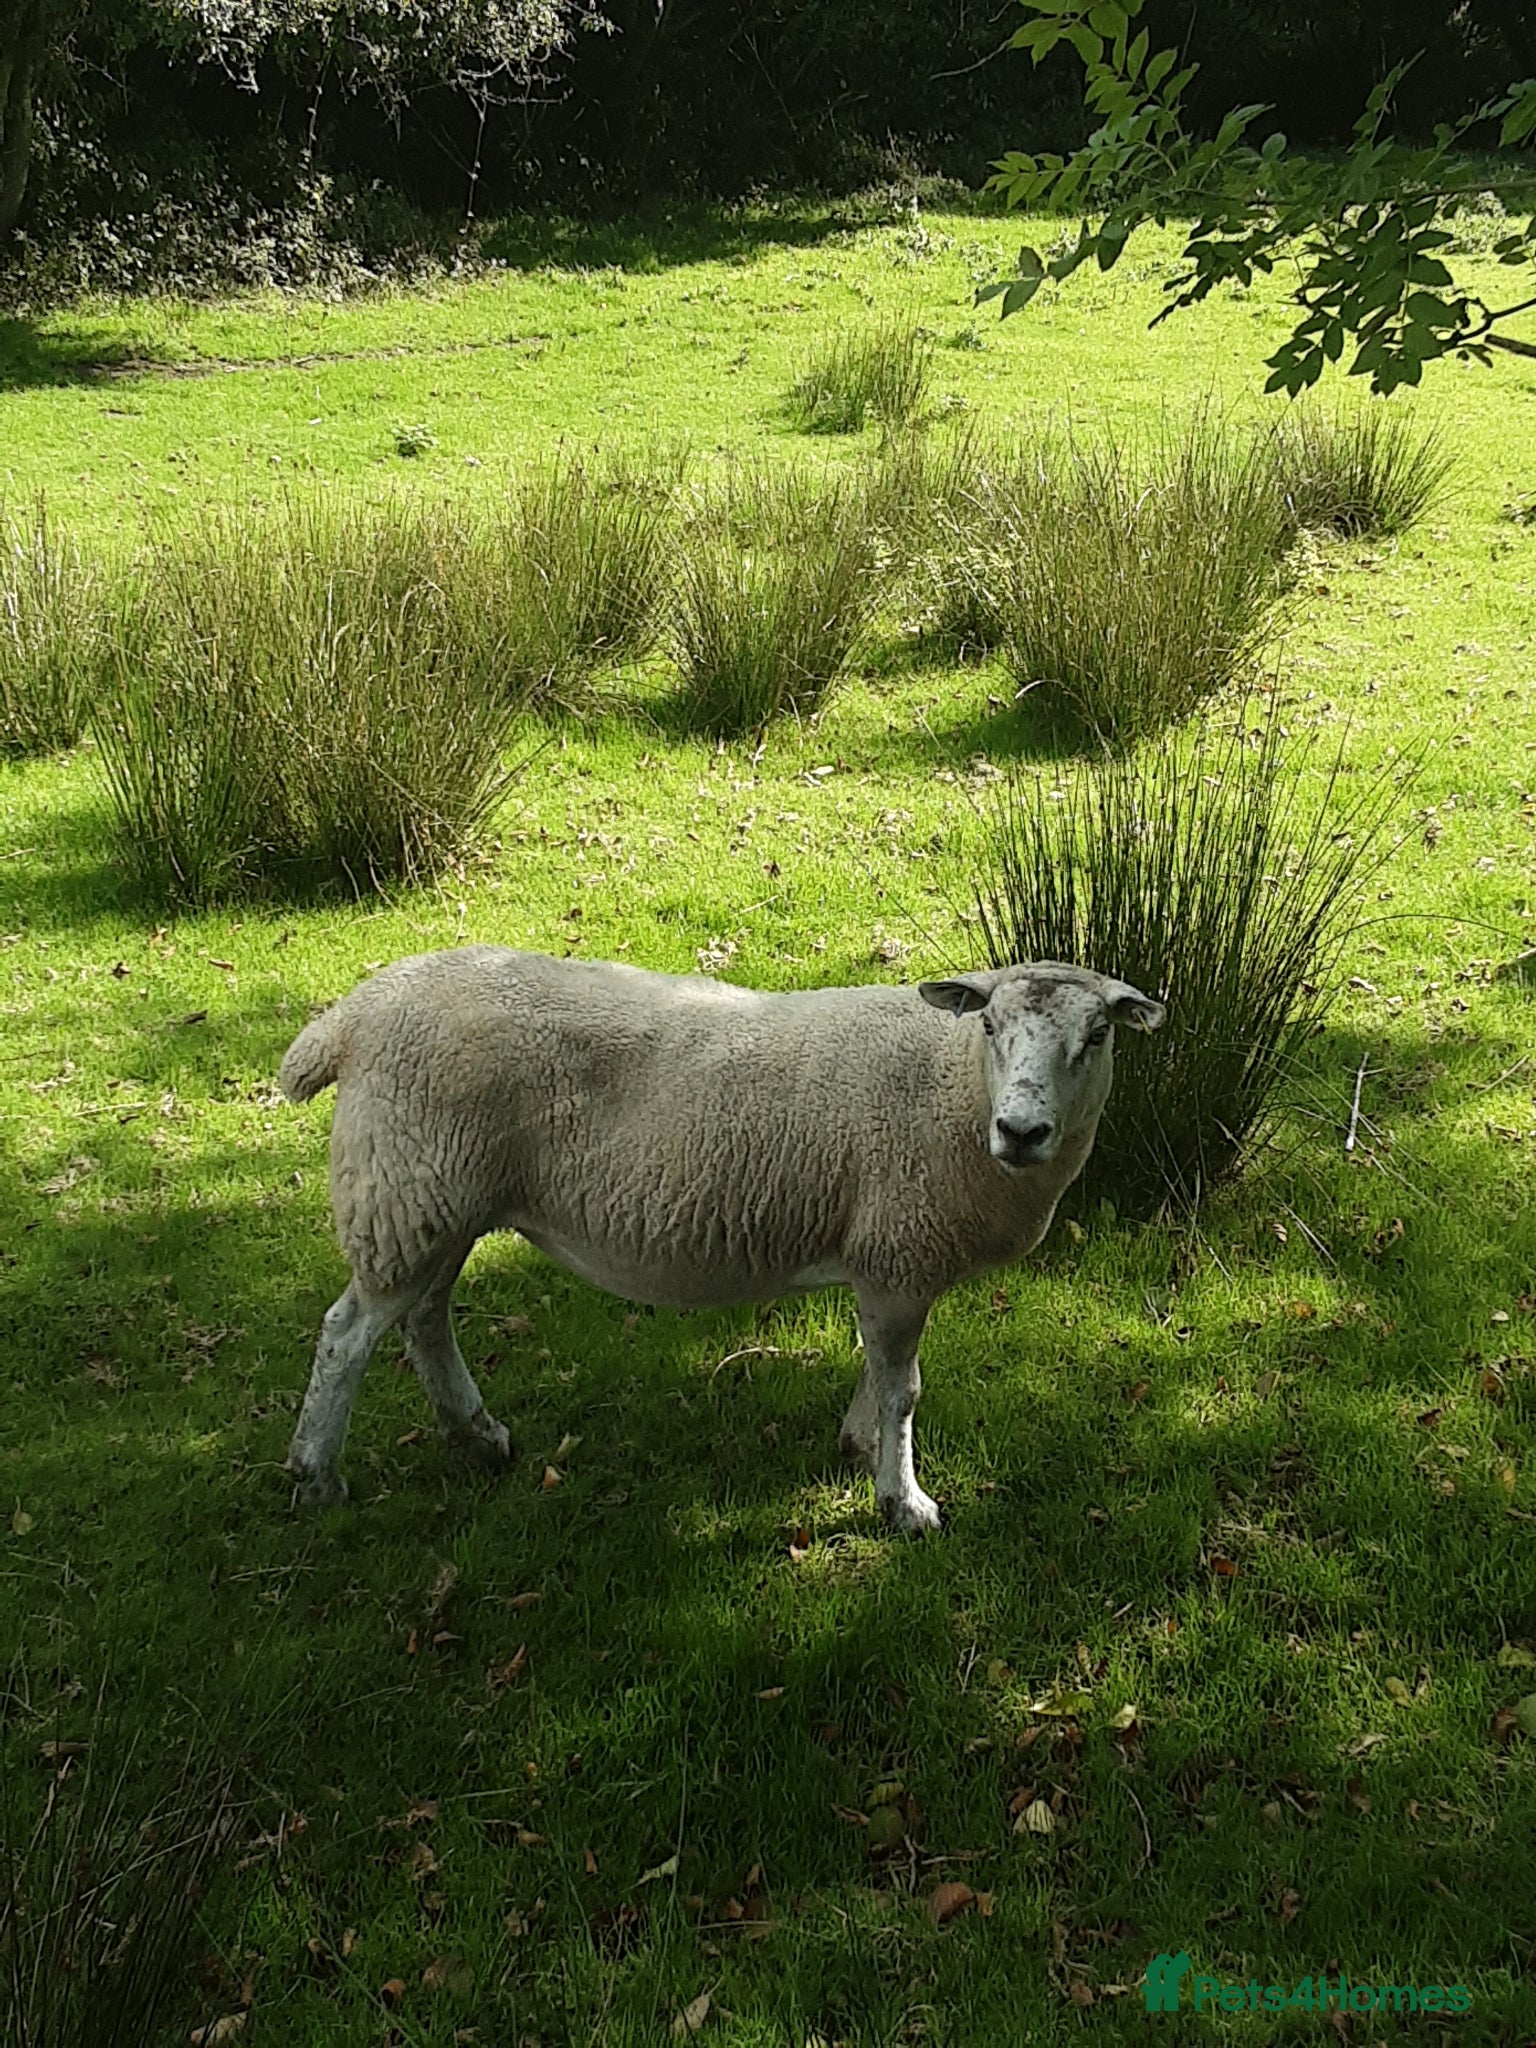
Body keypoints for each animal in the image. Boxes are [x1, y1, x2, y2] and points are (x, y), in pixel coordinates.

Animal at [279, 947, 1164, 1532]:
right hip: (404, 1189)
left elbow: (884, 1375)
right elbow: (905, 1388)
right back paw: (317, 1476)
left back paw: (477, 1435)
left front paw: (859, 1444)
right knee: (347, 1334)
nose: (1022, 1131)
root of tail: (356, 1013)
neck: (951, 1091)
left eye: (1097, 1036)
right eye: (989, 1025)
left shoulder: (887, 1258)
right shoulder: (898, 1255)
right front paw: (904, 1501)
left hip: (436, 1198)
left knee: (424, 1319)